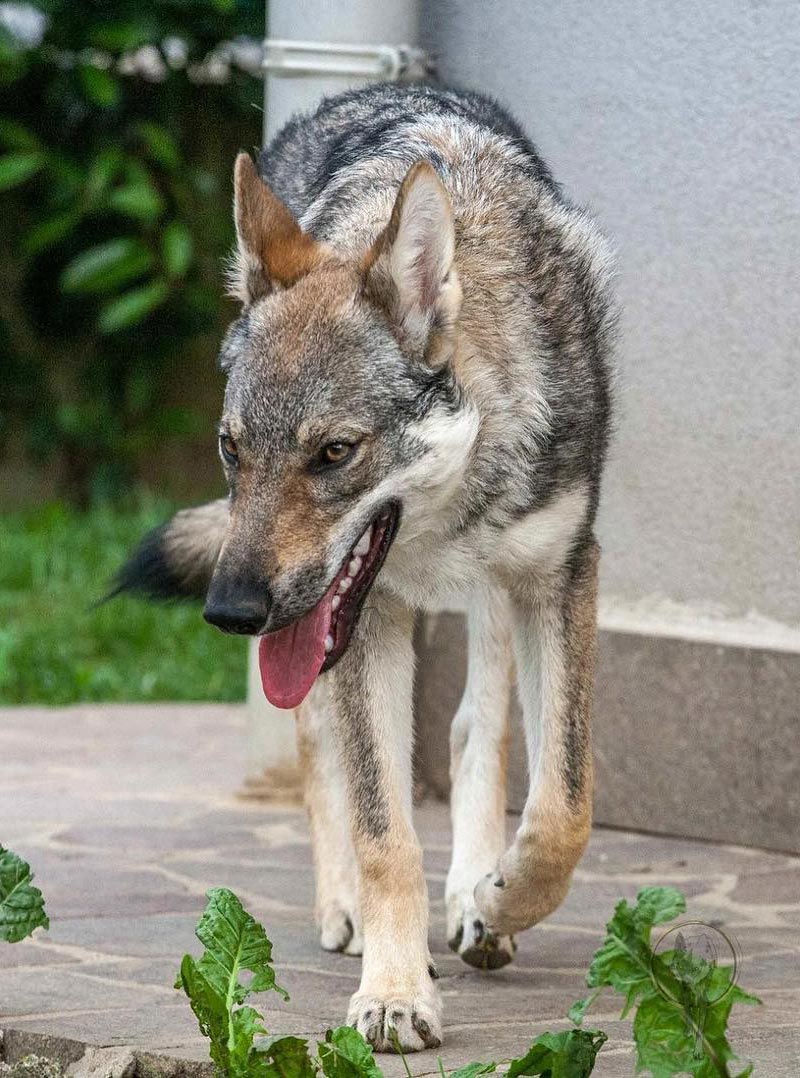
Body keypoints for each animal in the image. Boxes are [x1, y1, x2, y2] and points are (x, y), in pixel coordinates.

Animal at [116, 83, 614, 1052]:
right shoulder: (365, 614)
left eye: (334, 453)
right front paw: (394, 993)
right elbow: (386, 831)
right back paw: (345, 908)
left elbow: (562, 806)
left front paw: (495, 899)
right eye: (232, 449)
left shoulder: (560, 574)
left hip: (486, 599)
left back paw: (472, 894)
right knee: (325, 754)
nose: (230, 611)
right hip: (330, 631)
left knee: (476, 729)